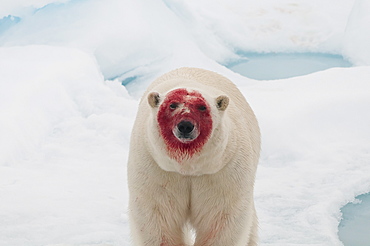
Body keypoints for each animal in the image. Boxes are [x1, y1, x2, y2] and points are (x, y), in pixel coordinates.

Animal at [127, 67, 260, 246]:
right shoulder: (156, 168)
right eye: (172, 105)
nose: (185, 125)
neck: (188, 167)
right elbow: (157, 217)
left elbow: (220, 218)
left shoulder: (224, 171)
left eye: (202, 107)